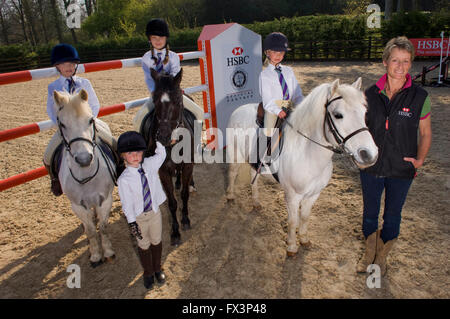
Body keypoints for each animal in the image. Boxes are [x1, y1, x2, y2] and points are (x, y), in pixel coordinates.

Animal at [53, 90, 117, 268]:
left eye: (90, 120)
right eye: (62, 124)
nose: (84, 159)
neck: (86, 176)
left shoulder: (106, 199)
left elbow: (103, 227)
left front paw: (108, 252)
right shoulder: (77, 206)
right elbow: (90, 231)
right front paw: (95, 255)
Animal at [144, 69, 193, 246]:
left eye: (178, 100)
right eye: (154, 99)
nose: (163, 136)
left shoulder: (188, 165)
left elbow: (184, 194)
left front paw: (185, 220)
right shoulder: (163, 171)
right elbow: (172, 203)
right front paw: (175, 232)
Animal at [227, 79, 378, 256]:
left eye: (364, 112)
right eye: (338, 115)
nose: (369, 154)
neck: (308, 154)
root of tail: (238, 110)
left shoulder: (314, 194)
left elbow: (305, 216)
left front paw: (304, 239)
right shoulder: (292, 196)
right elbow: (293, 221)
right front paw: (292, 246)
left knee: (253, 176)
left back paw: (256, 202)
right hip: (234, 155)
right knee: (232, 174)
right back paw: (230, 196)